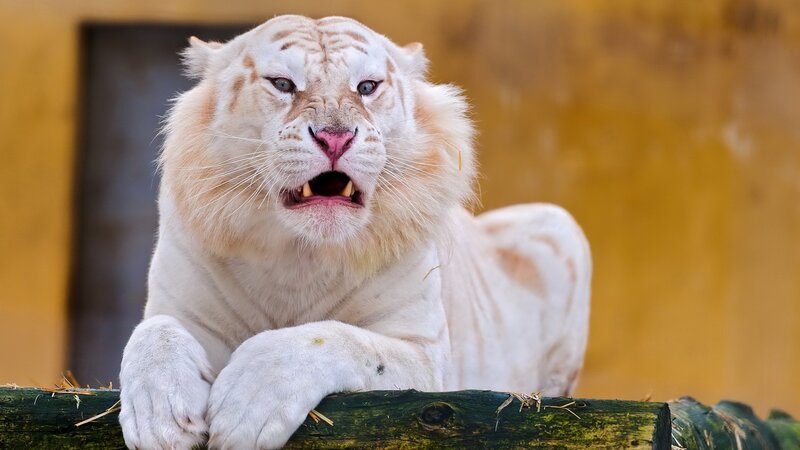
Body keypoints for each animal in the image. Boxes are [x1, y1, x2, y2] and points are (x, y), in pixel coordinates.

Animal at [119, 14, 591, 449]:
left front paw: (246, 405)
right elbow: (153, 332)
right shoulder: (182, 308)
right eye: (282, 83)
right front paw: (159, 420)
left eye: (366, 87)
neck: (299, 254)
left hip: (559, 225)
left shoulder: (426, 356)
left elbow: (338, 339)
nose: (335, 138)